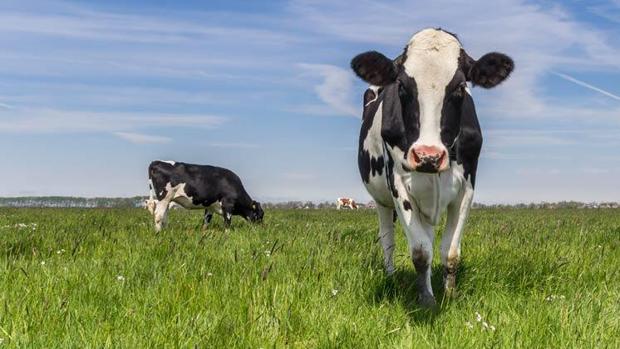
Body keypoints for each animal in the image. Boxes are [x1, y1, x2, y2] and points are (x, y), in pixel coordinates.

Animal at [352, 28, 516, 306]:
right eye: (402, 86)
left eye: (461, 87)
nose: (428, 156)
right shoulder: (398, 184)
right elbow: (420, 252)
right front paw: (427, 300)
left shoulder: (467, 187)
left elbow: (449, 251)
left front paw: (449, 294)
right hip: (382, 200)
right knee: (388, 239)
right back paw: (392, 276)